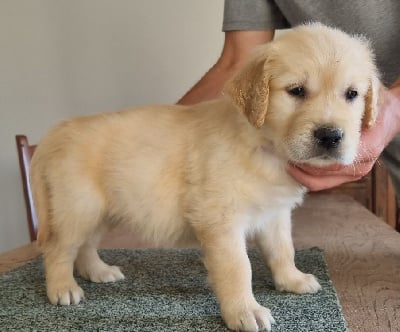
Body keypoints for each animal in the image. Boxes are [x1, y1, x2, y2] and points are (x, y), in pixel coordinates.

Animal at [30, 24, 378, 332]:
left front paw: (292, 279)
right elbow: (239, 267)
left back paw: (98, 271)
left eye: (352, 94)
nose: (331, 136)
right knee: (59, 249)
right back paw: (63, 287)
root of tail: (54, 133)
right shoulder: (220, 220)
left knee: (85, 246)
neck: (264, 145)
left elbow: (283, 248)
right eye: (296, 91)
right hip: (77, 207)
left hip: (100, 210)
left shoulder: (275, 213)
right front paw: (245, 311)